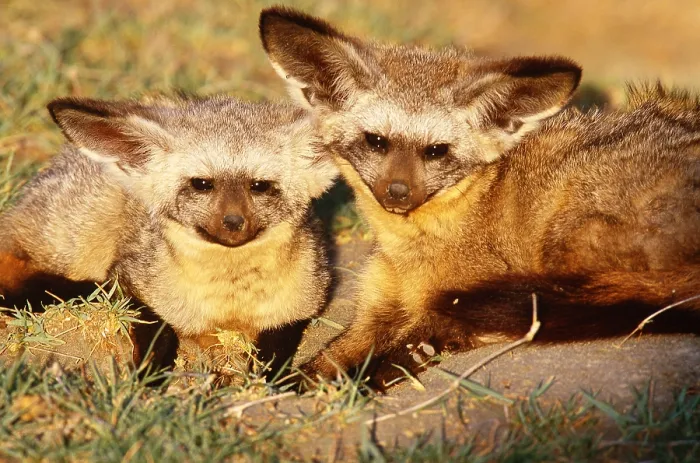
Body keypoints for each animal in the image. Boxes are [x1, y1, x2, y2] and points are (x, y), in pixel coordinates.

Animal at [0, 94, 338, 371]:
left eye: (259, 186)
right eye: (202, 184)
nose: (233, 222)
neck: (230, 305)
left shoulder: (302, 304)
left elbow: (275, 355)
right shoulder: (129, 283)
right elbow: (160, 331)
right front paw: (150, 373)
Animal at [259, 7, 700, 386]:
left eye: (436, 151)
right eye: (376, 141)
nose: (398, 193)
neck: (414, 252)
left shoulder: (470, 287)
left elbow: (439, 328)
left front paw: (390, 367)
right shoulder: (378, 304)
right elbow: (335, 353)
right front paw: (307, 381)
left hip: (569, 231)